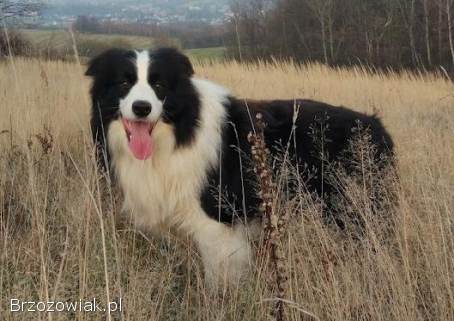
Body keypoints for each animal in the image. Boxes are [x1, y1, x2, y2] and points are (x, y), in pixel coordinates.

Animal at [86, 48, 394, 284]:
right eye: (123, 84)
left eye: (159, 86)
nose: (141, 108)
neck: (180, 131)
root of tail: (377, 126)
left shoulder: (217, 225)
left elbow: (220, 280)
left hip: (356, 210)